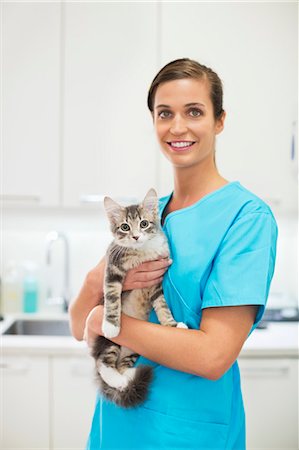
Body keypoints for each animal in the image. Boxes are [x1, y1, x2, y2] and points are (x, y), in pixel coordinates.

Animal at [90, 188, 186, 410]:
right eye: (125, 227)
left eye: (143, 223)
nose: (135, 236)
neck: (142, 251)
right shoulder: (112, 268)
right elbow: (112, 297)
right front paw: (111, 324)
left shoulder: (156, 284)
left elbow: (162, 306)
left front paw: (173, 325)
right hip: (108, 343)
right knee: (103, 363)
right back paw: (118, 379)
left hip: (135, 348)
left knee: (121, 365)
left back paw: (129, 377)